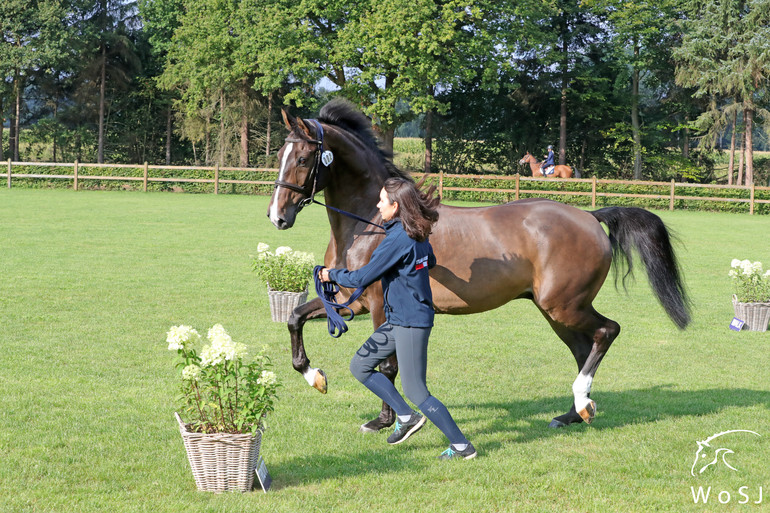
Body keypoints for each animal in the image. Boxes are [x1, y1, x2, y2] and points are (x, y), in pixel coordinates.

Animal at [268, 97, 688, 432]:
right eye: (279, 157)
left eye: (303, 159)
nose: (277, 217)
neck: (372, 221)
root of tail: (589, 216)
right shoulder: (346, 299)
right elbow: (295, 318)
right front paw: (315, 376)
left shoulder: (376, 307)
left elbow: (385, 366)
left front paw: (386, 421)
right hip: (557, 311)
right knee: (584, 349)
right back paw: (572, 414)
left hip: (563, 306)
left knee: (606, 331)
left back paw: (582, 402)